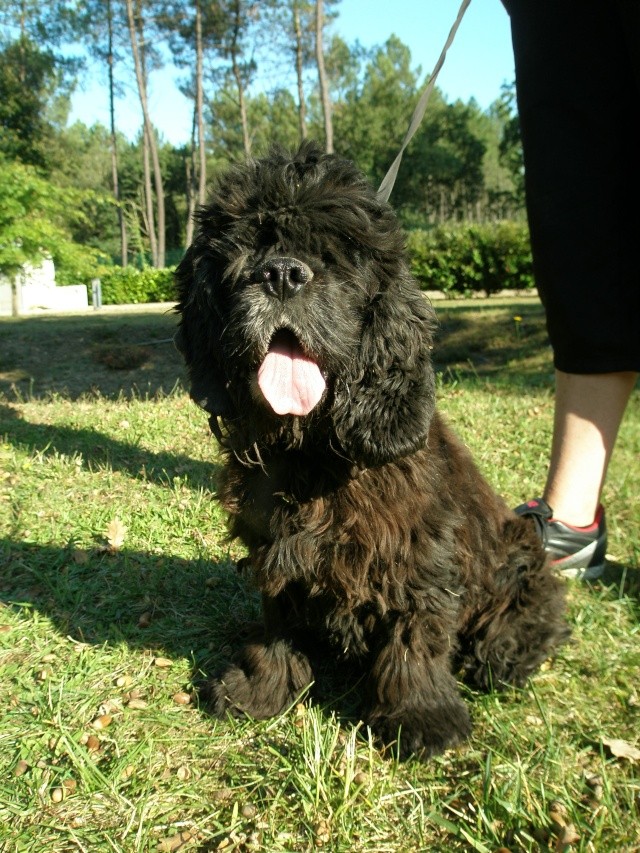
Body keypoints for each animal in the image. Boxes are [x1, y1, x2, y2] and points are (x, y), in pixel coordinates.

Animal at [176, 141, 568, 760]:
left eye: (335, 256)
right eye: (250, 245)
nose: (282, 274)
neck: (312, 451)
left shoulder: (421, 553)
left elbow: (415, 634)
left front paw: (420, 717)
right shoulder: (274, 547)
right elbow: (276, 620)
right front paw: (261, 689)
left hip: (521, 562)